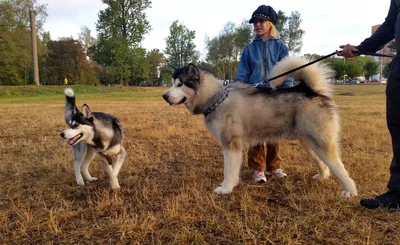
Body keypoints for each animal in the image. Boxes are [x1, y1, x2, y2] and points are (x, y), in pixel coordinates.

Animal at [162, 58, 360, 199]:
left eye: (180, 84)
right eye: (172, 83)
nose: (164, 96)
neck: (216, 98)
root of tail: (311, 91)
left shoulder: (231, 145)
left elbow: (229, 171)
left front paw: (225, 189)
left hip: (321, 142)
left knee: (339, 166)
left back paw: (350, 191)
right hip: (308, 142)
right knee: (323, 164)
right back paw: (322, 177)